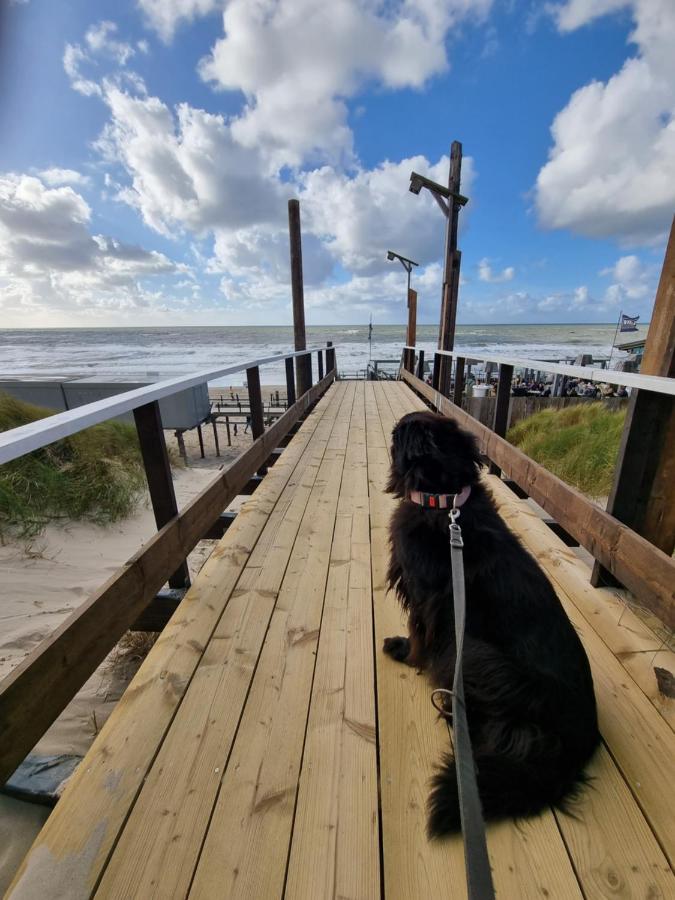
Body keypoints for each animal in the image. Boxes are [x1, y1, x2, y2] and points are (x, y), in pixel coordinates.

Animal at [382, 414, 600, 836]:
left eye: (400, 432)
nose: (392, 432)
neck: (445, 500)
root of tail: (581, 743)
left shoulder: (425, 598)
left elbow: (418, 636)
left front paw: (405, 654)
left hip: (478, 655)